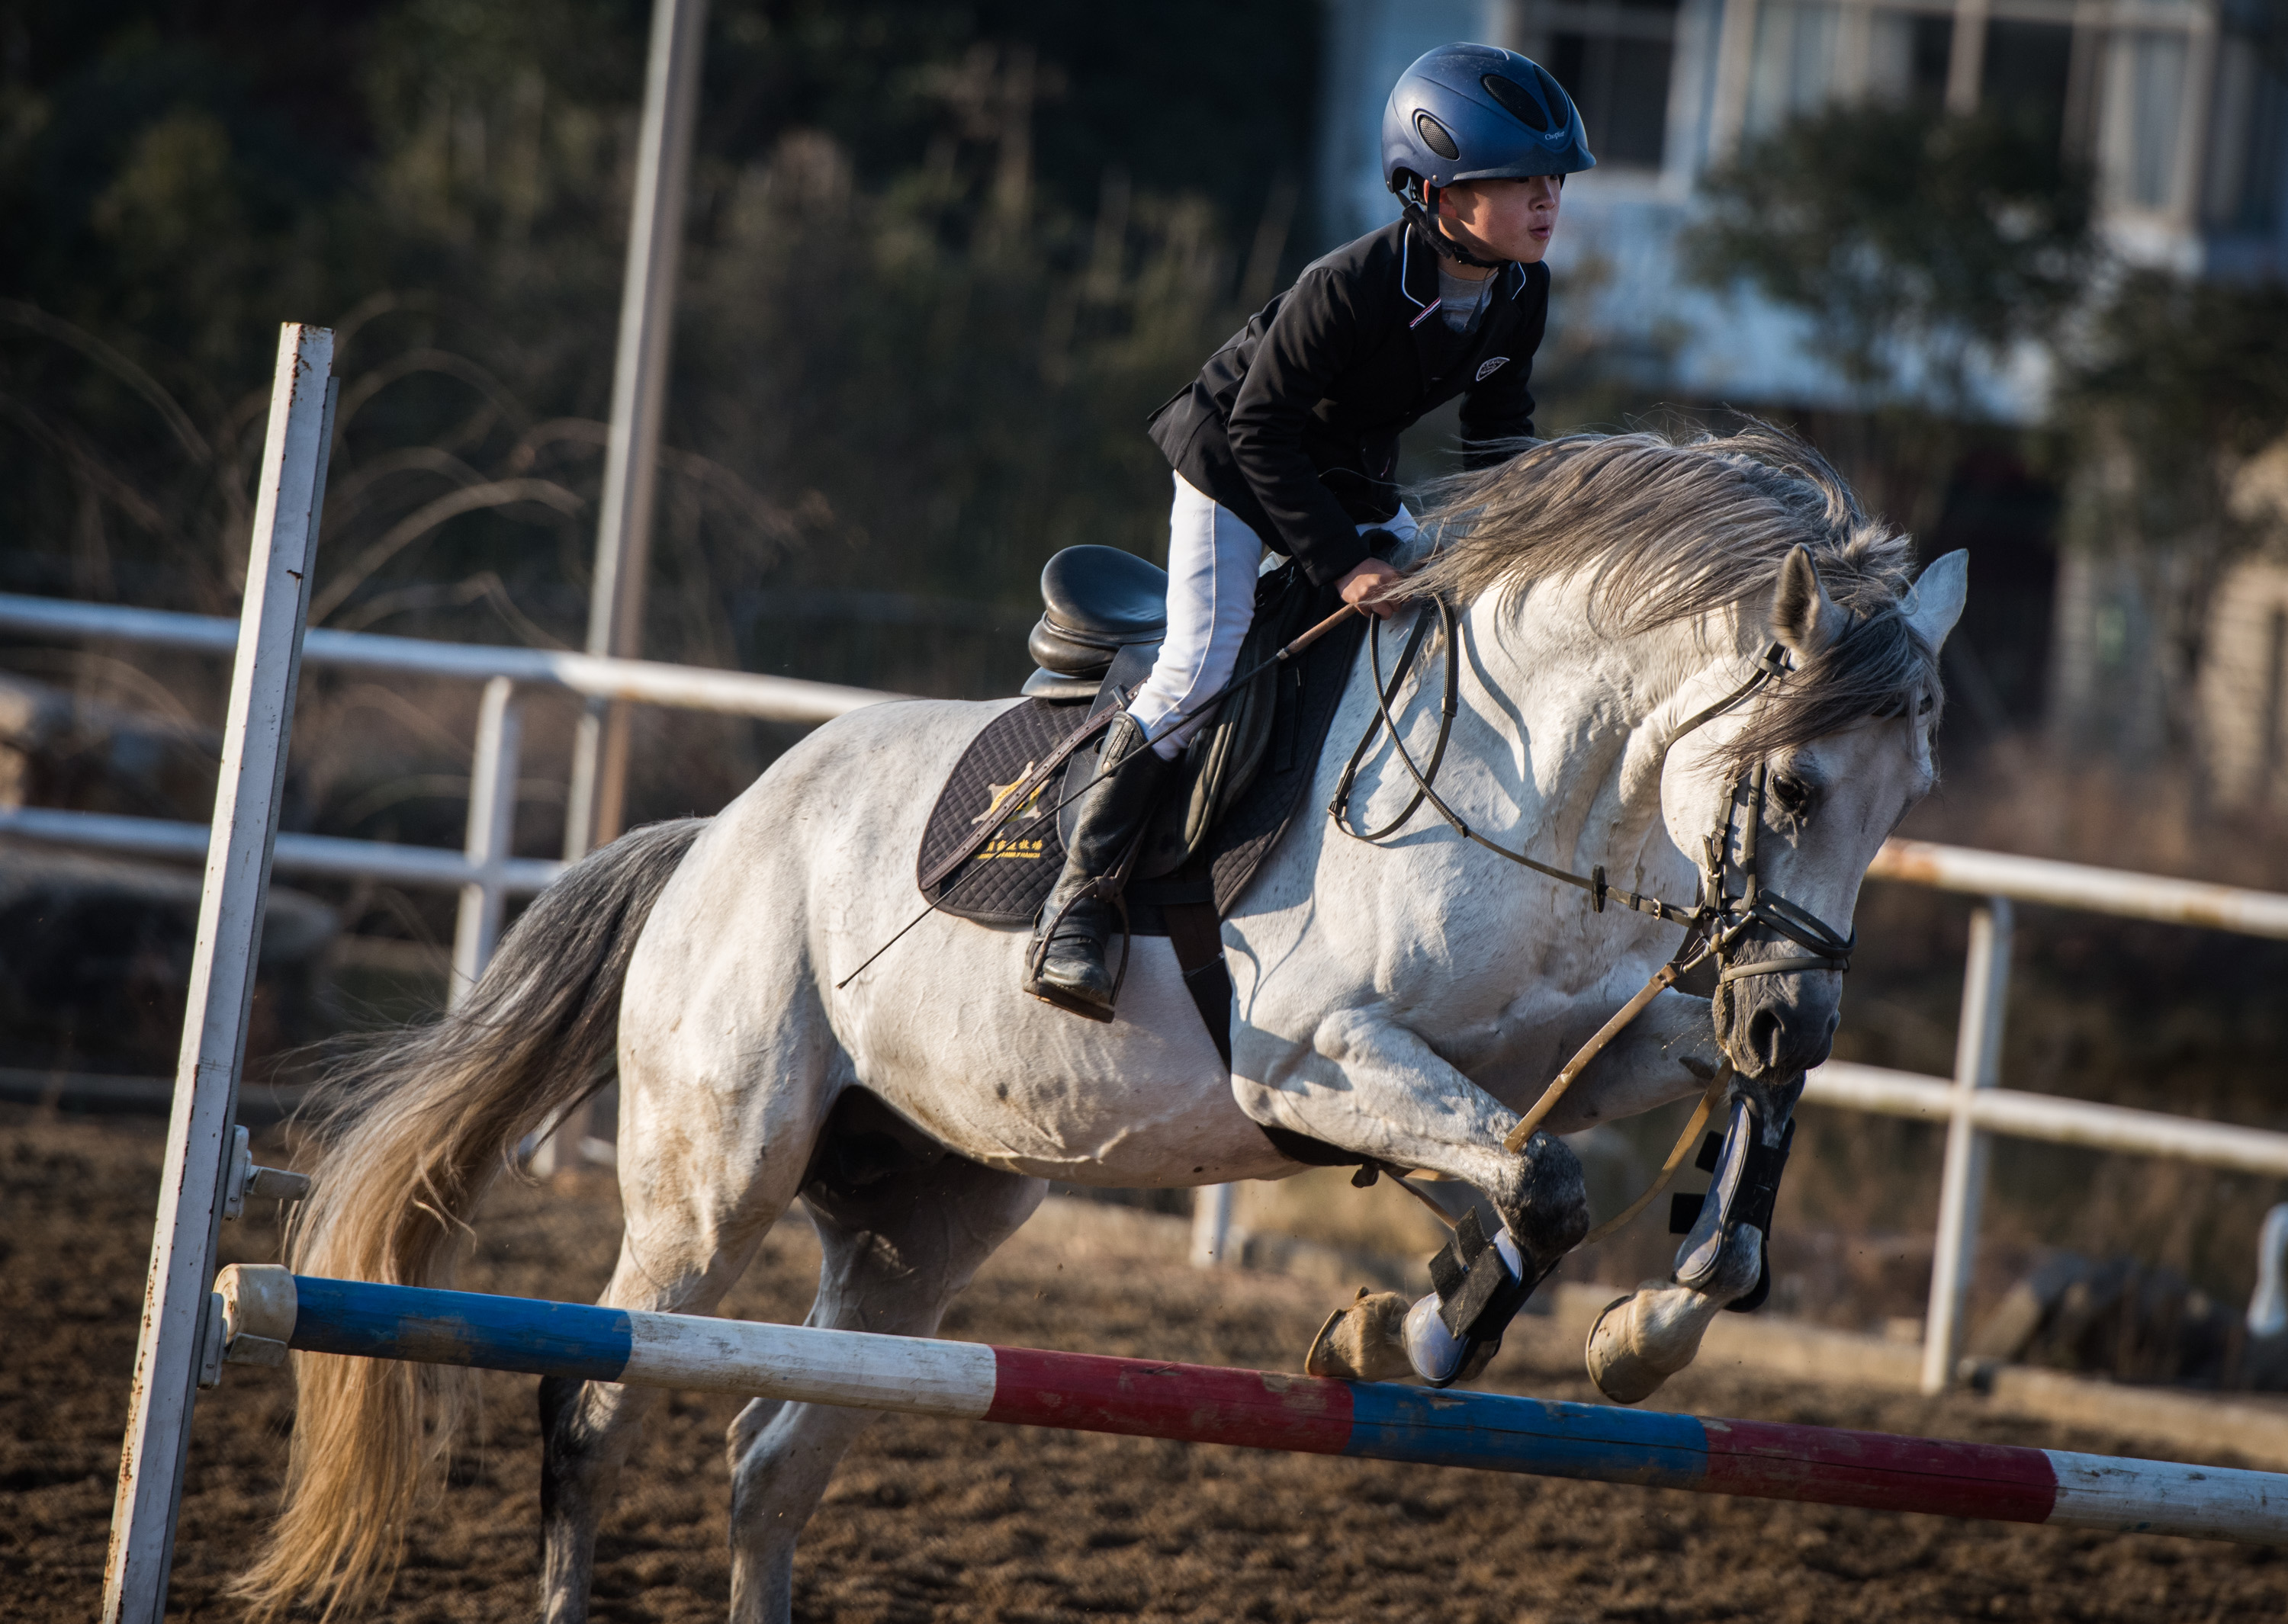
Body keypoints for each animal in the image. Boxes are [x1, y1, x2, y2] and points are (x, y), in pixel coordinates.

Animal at [246, 425, 1968, 1619]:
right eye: (1794, 786)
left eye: (1909, 806)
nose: (1794, 1019)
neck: (1538, 786)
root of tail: (715, 835)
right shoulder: (1312, 1056)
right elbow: (1538, 1186)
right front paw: (1416, 1327)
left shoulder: (1564, 1051)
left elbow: (1637, 1162)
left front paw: (1625, 1320)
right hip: (710, 1185)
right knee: (596, 1402)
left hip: (918, 1228)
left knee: (774, 1463)